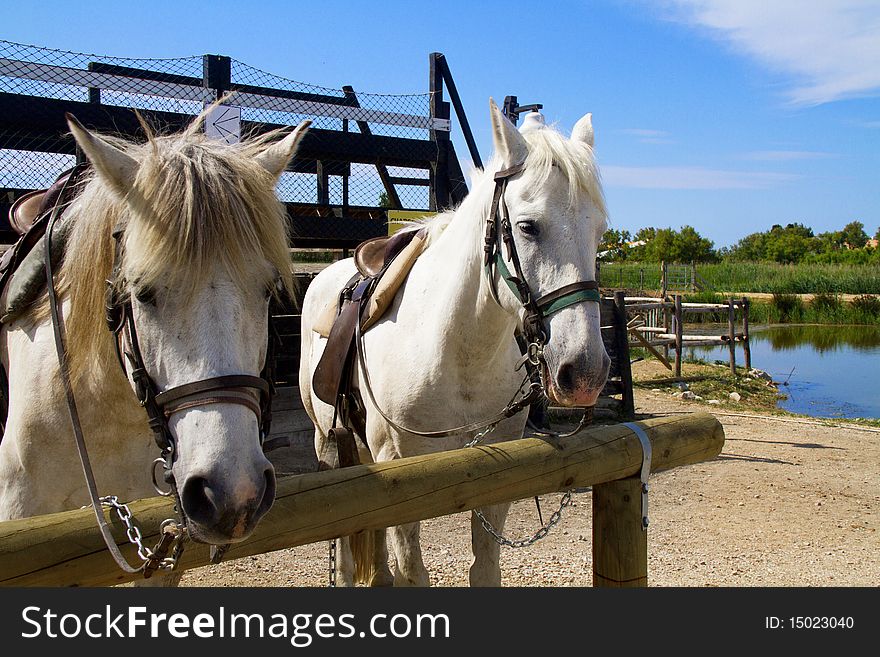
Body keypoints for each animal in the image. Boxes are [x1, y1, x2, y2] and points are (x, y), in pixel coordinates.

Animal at [300, 101, 608, 584]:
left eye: (599, 232)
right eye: (528, 227)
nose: (586, 372)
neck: (459, 355)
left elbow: (484, 568)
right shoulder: (400, 477)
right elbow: (412, 572)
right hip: (327, 444)